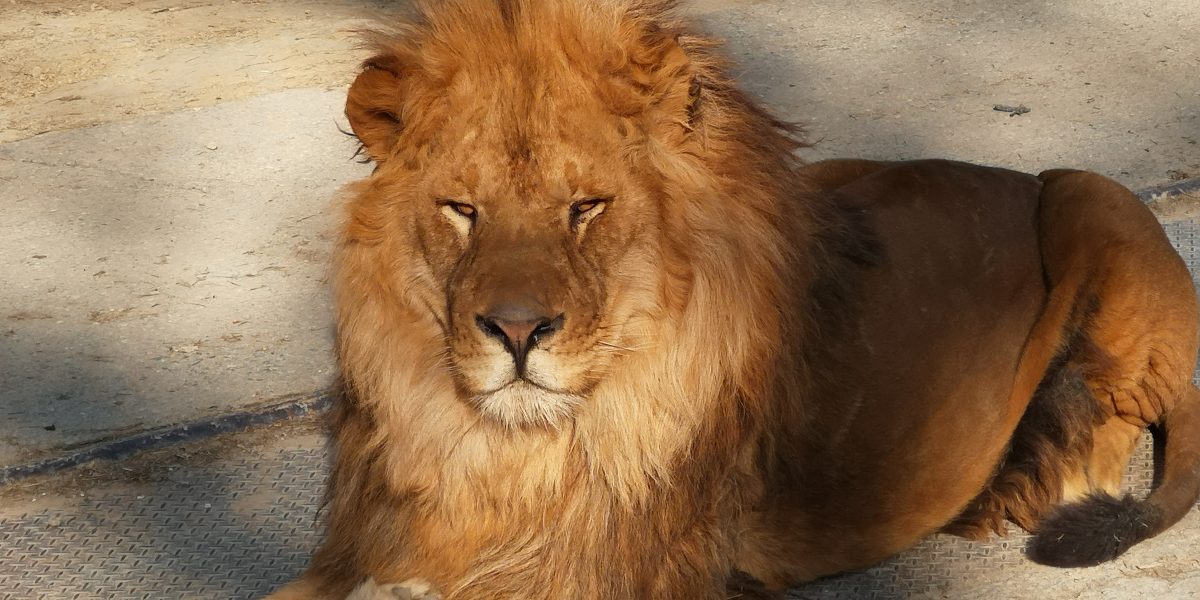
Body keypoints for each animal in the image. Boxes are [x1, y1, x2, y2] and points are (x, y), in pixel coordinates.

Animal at [265, 1, 1200, 600]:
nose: (518, 329)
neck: (494, 450)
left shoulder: (605, 573)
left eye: (586, 207)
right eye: (463, 210)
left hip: (1095, 195)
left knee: (1098, 435)